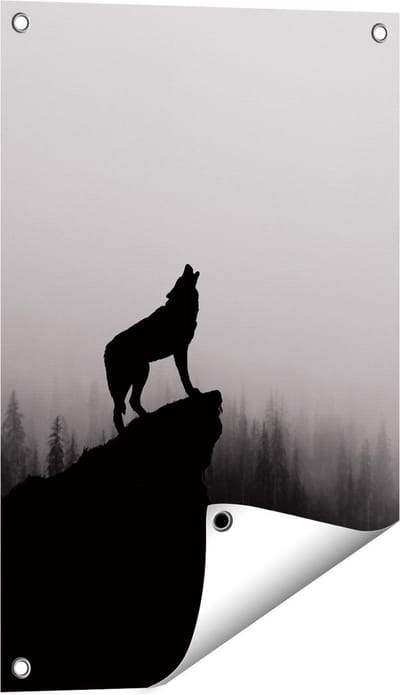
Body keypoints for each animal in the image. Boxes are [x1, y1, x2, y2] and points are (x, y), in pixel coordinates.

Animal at [104, 264, 201, 433]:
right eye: (181, 277)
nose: (187, 265)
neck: (180, 308)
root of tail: (106, 349)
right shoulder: (180, 350)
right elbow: (185, 376)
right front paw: (192, 392)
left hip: (136, 376)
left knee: (127, 404)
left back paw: (144, 418)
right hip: (137, 374)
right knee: (121, 408)